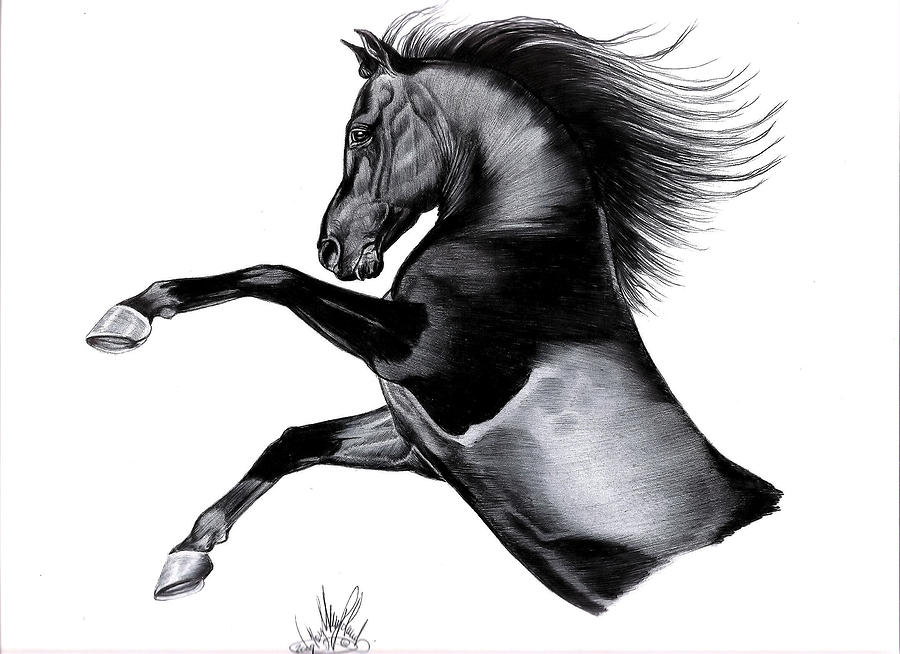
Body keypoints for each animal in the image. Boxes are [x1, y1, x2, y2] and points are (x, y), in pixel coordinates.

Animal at [86, 13, 783, 614]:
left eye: (359, 131)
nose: (333, 249)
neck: (525, 246)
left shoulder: (426, 367)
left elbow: (275, 278)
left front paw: (130, 316)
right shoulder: (417, 439)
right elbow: (298, 439)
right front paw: (187, 557)